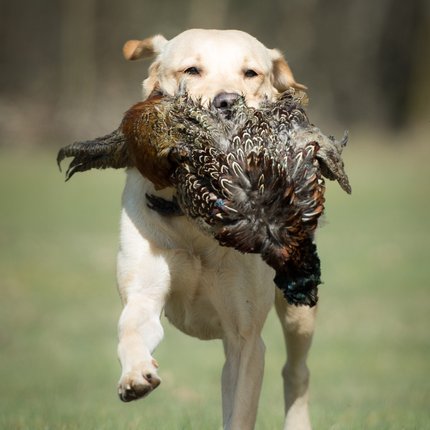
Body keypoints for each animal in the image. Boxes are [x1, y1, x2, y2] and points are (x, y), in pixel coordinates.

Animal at [117, 28, 316, 428]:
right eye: (191, 69)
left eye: (251, 73)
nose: (228, 101)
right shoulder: (144, 289)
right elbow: (132, 326)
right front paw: (134, 375)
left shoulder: (246, 338)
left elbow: (240, 410)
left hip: (298, 308)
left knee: (296, 371)